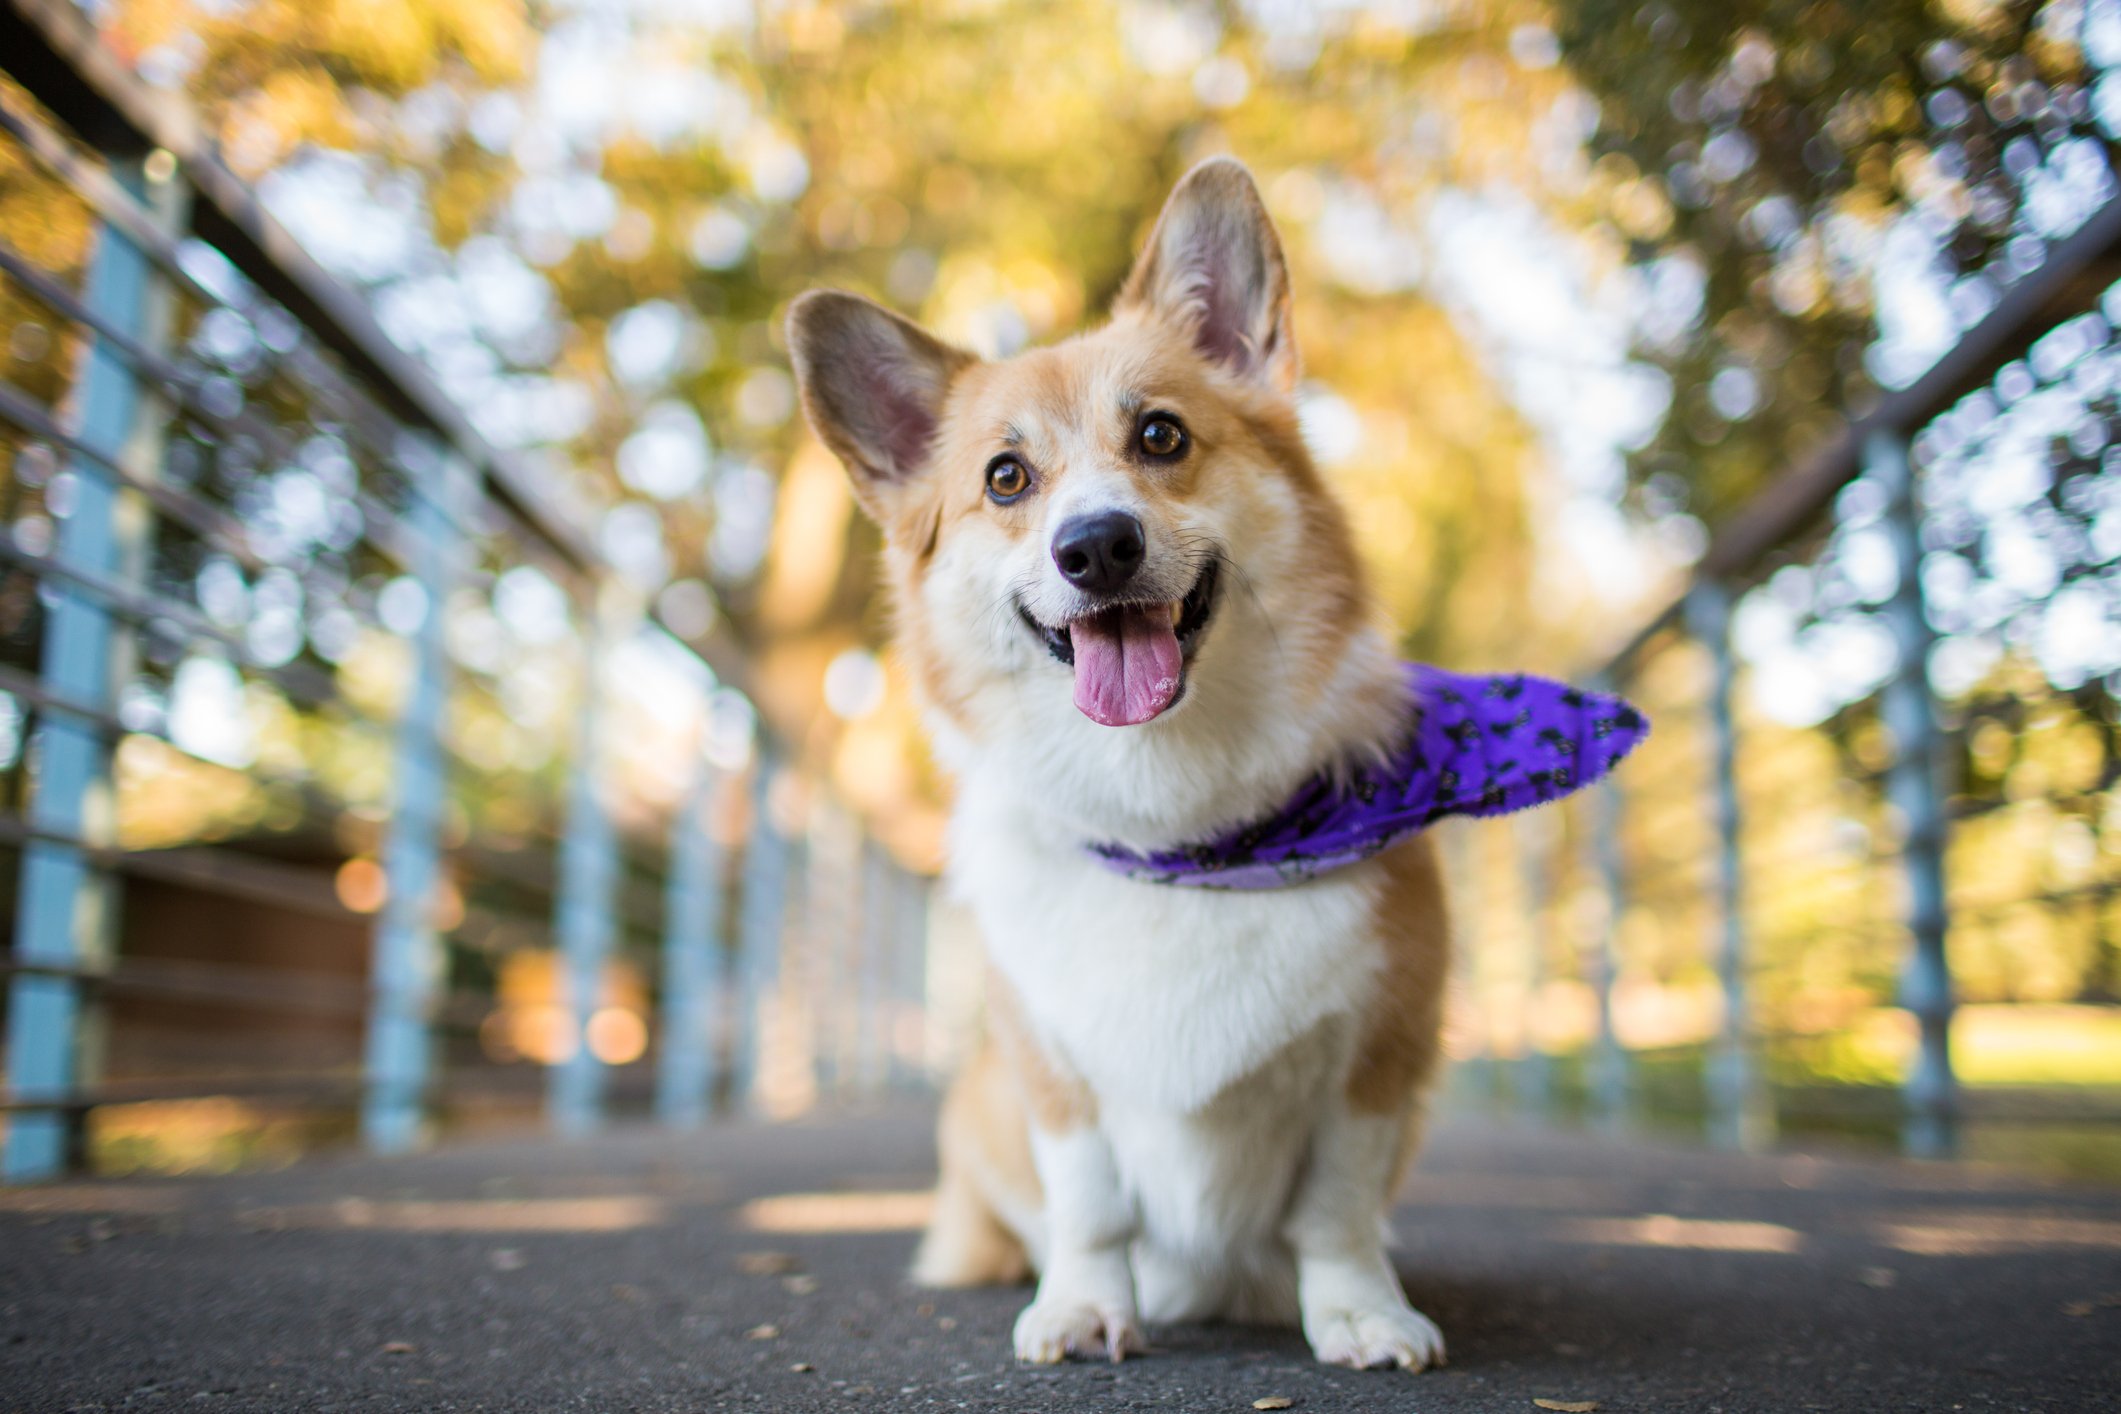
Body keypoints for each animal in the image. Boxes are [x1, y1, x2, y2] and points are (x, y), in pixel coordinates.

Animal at [789, 154, 1450, 1373]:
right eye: (1006, 478)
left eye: (1161, 437)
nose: (1096, 547)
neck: (1173, 827)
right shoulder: (1051, 1067)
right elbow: (1090, 1204)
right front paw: (1082, 1307)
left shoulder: (1377, 1054)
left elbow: (1335, 1211)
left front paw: (1362, 1314)